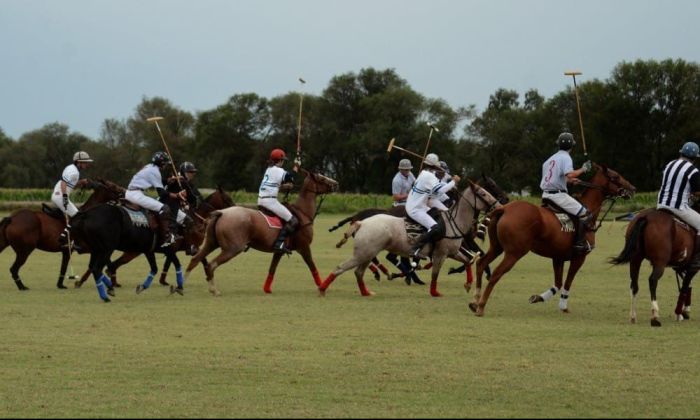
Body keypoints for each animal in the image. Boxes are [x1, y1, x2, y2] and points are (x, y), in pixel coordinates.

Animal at [72, 186, 235, 288]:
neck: (196, 219)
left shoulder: (175, 249)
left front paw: (165, 280)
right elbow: (198, 259)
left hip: (130, 250)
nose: (235, 209)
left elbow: (173, 262)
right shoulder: (184, 247)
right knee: (107, 264)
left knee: (108, 264)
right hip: (125, 250)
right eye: (228, 199)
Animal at [183, 169, 340, 296]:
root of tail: (221, 213)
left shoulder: (279, 250)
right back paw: (213, 290)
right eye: (321, 178)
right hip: (233, 248)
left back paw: (181, 285)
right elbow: (312, 266)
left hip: (211, 242)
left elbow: (272, 268)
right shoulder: (304, 247)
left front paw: (267, 289)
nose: (336, 183)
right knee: (211, 264)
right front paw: (322, 286)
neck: (303, 213)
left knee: (195, 259)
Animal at [318, 181, 504, 298]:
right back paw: (322, 288)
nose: (499, 205)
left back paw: (366, 291)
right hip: (364, 253)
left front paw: (468, 284)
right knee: (341, 268)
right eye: (483, 193)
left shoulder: (452, 252)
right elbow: (435, 274)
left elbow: (467, 260)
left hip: (367, 253)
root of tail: (361, 222)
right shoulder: (440, 254)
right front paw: (434, 292)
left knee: (358, 272)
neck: (455, 222)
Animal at [468, 162, 636, 316]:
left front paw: (537, 298)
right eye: (616, 177)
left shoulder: (558, 257)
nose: (633, 189)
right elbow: (568, 281)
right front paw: (563, 306)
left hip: (497, 247)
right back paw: (481, 306)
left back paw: (475, 302)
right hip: (515, 252)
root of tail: (504, 209)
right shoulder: (579, 256)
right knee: (496, 273)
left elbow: (558, 283)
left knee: (481, 263)